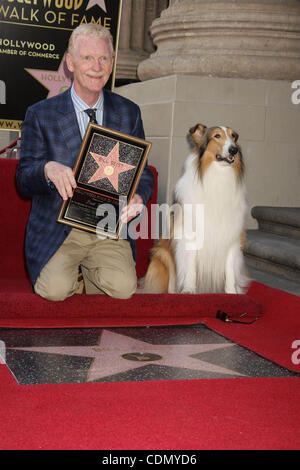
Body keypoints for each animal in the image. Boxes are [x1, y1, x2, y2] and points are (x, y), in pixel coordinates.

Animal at [143, 125, 248, 294]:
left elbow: (230, 268)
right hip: (162, 253)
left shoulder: (232, 237)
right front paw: (189, 290)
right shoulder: (190, 235)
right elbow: (191, 267)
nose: (234, 150)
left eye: (233, 136)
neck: (218, 176)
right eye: (217, 136)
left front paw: (232, 293)